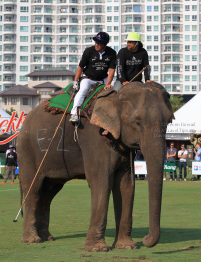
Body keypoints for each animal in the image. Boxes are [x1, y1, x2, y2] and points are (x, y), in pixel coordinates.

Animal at [17, 82, 174, 252]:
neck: (115, 96)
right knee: (34, 189)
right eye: (137, 122)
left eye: (169, 121)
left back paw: (47, 237)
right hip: (27, 151)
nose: (145, 239)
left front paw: (127, 246)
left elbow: (126, 185)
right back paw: (32, 240)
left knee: (48, 192)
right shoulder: (93, 138)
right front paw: (98, 249)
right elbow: (102, 182)